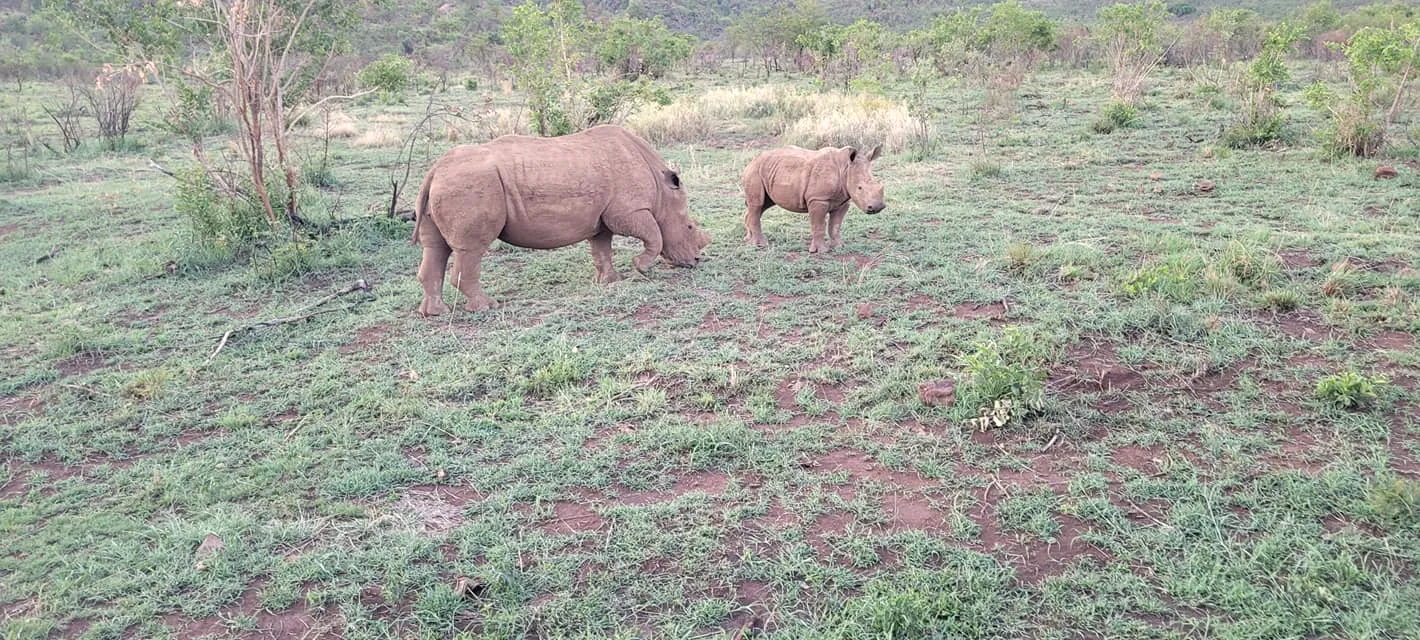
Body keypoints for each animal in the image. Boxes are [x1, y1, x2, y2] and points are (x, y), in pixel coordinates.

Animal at [411, 125, 711, 315]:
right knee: (471, 249)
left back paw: (435, 313)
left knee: (435, 248)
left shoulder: (601, 219)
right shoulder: (628, 212)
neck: (663, 192)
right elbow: (653, 234)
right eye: (690, 227)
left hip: (450, 183)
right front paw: (640, 267)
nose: (697, 261)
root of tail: (435, 169)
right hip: (470, 184)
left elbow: (601, 248)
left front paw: (610, 281)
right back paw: (488, 306)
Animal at [741, 145, 885, 253]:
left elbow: (835, 226)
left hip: (769, 170)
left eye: (878, 184)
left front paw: (839, 246)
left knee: (762, 205)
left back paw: (748, 239)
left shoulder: (843, 201)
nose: (877, 207)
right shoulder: (817, 199)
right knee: (757, 204)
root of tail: (753, 159)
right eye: (860, 188)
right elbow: (819, 225)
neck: (845, 169)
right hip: (755, 171)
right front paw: (821, 251)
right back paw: (759, 244)